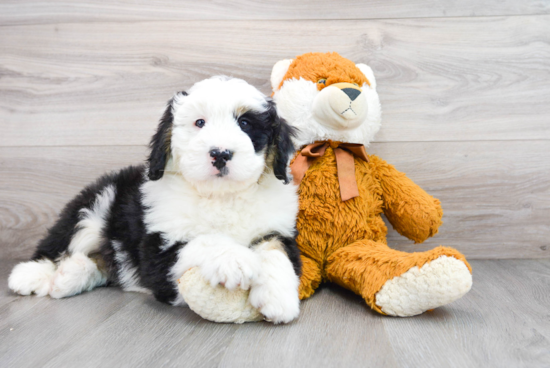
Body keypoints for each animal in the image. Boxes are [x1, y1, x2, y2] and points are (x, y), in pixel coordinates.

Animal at [7, 76, 302, 324]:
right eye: (200, 123)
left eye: (245, 124)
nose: (220, 153)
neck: (220, 196)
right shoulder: (157, 254)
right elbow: (204, 240)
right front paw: (235, 259)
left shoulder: (278, 228)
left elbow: (276, 249)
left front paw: (278, 297)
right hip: (96, 204)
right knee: (58, 243)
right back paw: (32, 274)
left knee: (103, 263)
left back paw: (71, 275)